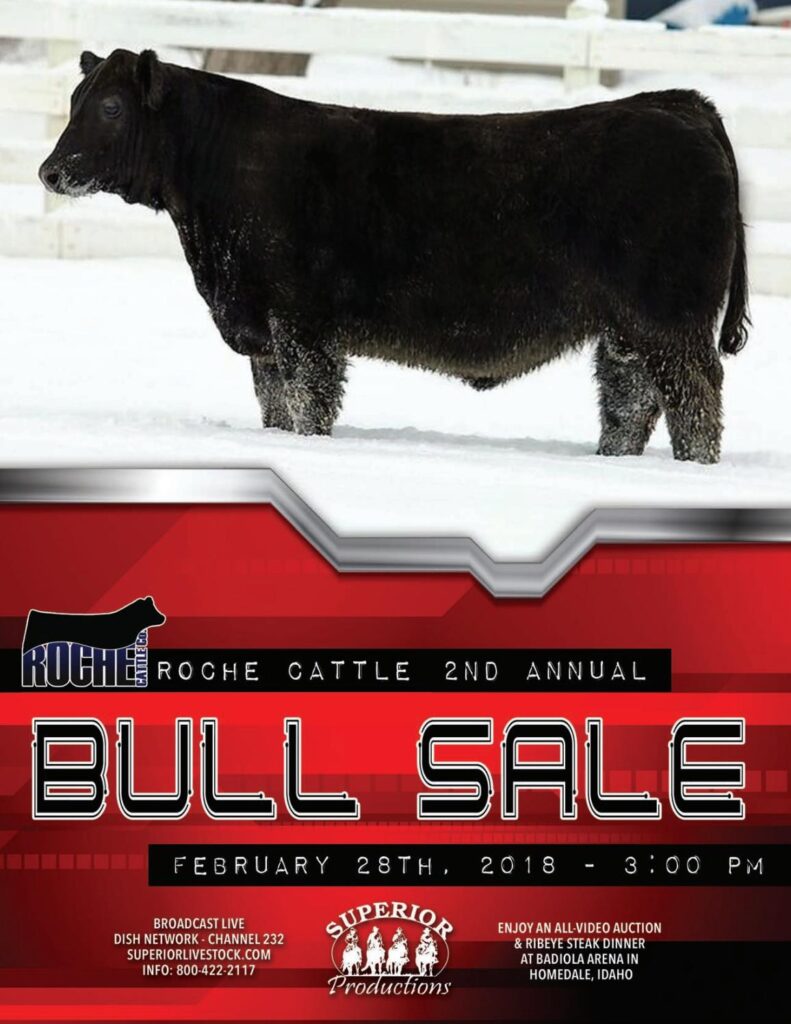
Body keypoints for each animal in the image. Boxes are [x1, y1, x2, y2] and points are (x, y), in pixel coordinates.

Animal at [39, 49, 750, 463]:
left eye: (110, 107)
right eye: (75, 101)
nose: (49, 171)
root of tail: (677, 103)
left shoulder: (301, 327)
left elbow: (307, 404)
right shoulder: (262, 332)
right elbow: (275, 406)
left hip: (673, 323)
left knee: (696, 401)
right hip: (627, 331)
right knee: (630, 400)